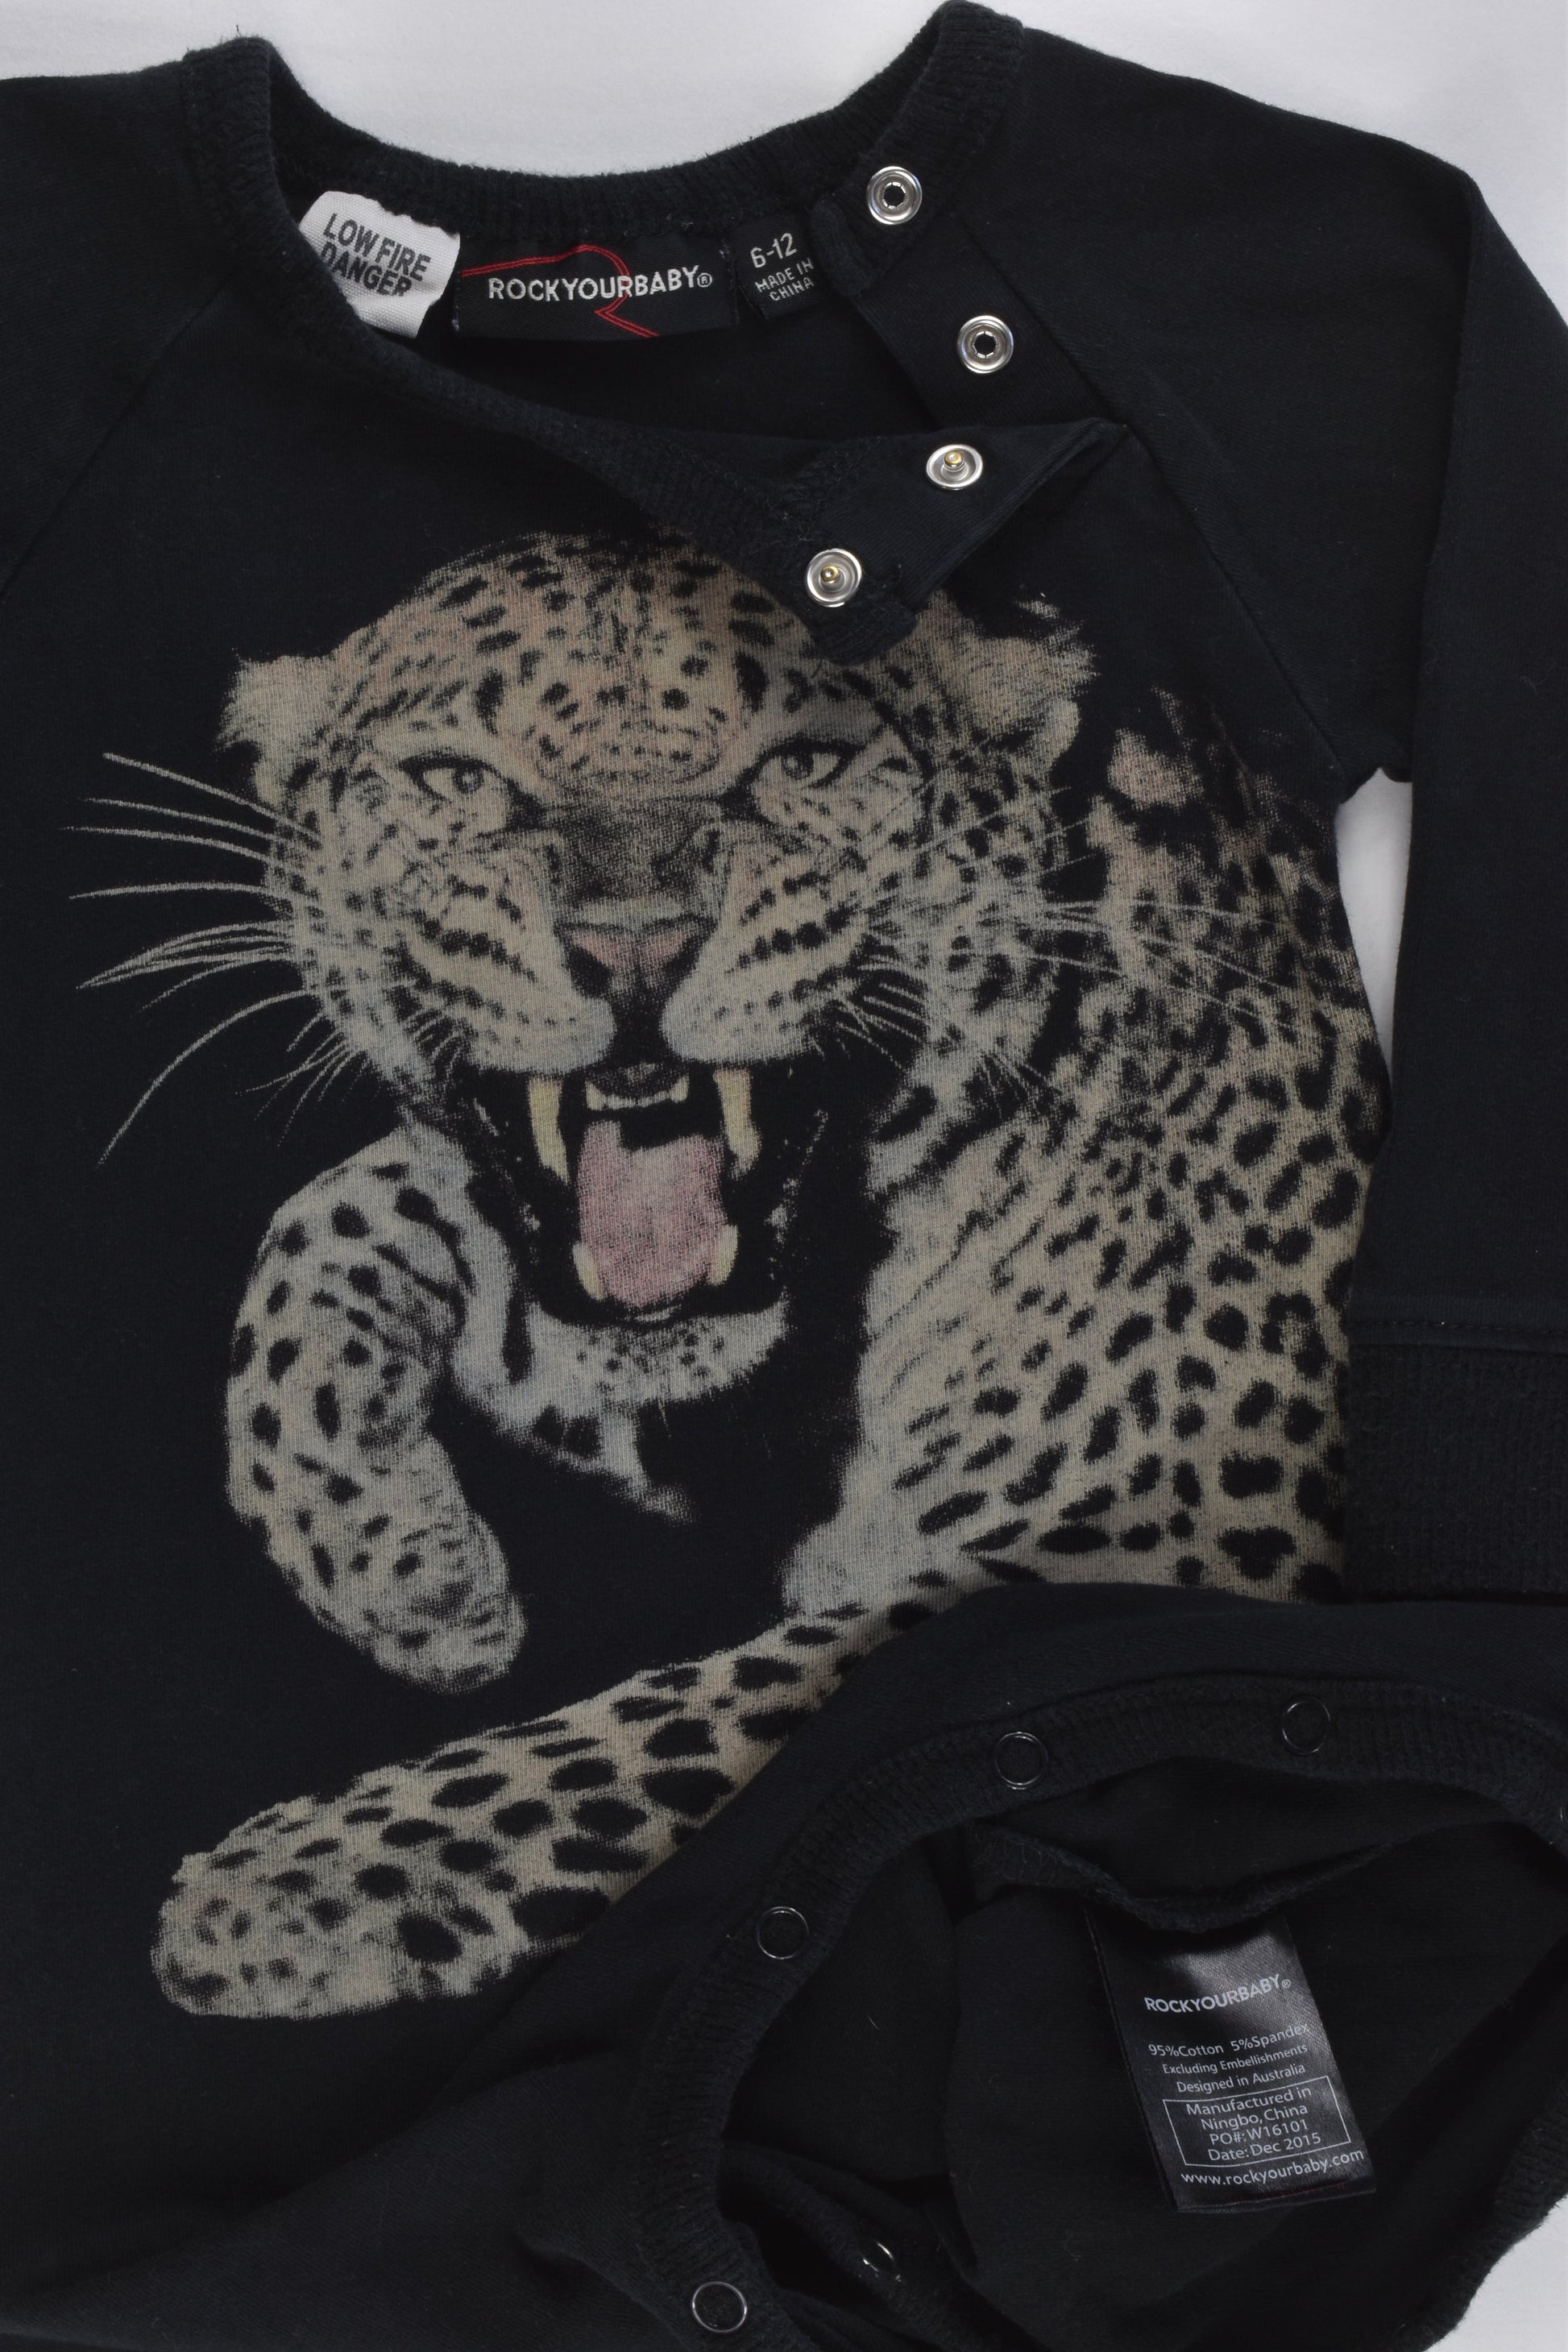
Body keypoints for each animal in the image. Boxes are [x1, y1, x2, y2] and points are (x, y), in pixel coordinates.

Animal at [138, 530, 1387, 2018]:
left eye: (803, 763)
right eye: (456, 779)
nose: (634, 942)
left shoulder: (1148, 1543)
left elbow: (731, 1704)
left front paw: (303, 1879)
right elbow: (339, 1206)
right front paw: (408, 1572)